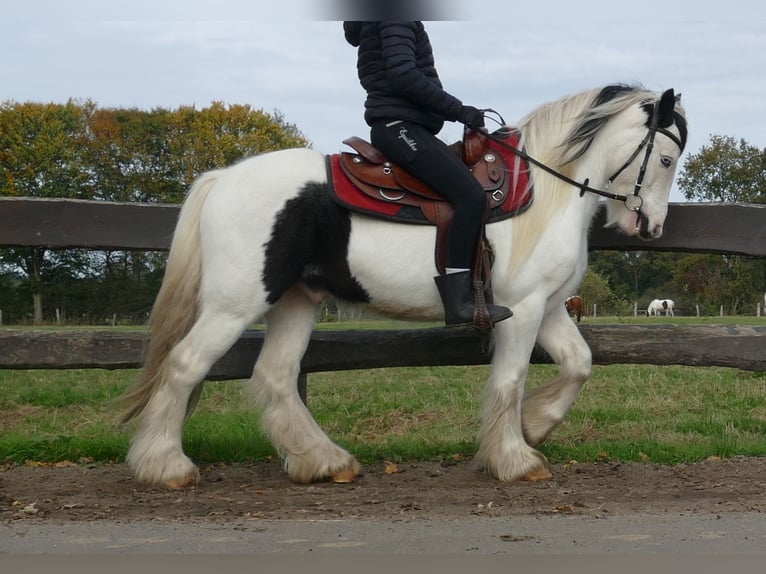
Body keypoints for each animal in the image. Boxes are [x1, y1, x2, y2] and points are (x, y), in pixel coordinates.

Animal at [118, 85, 688, 490]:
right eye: (665, 159)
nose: (651, 226)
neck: (544, 192)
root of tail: (221, 179)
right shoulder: (522, 310)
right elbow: (510, 380)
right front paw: (514, 458)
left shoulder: (547, 308)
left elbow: (579, 363)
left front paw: (535, 426)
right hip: (234, 305)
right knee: (186, 365)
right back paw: (166, 467)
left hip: (296, 301)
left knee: (276, 377)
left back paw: (324, 462)